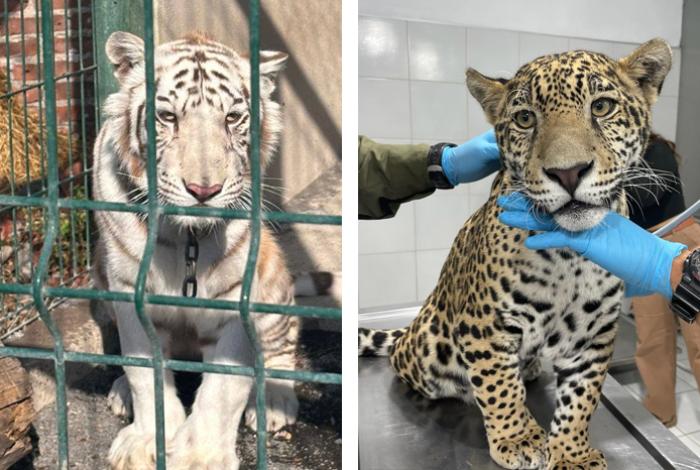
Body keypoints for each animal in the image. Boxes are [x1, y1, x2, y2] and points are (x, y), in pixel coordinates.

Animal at [92, 31, 297, 470]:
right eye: (168, 117)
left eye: (232, 118)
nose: (204, 191)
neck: (186, 236)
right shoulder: (126, 290)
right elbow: (143, 371)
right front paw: (145, 441)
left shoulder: (237, 297)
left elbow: (223, 388)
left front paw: (201, 456)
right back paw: (120, 392)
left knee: (282, 347)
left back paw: (275, 400)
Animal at [359, 38, 672, 470]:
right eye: (525, 118)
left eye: (602, 107)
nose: (568, 173)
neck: (569, 255)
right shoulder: (485, 325)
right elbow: (498, 386)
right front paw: (518, 439)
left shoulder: (594, 335)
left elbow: (582, 398)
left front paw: (571, 452)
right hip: (428, 353)